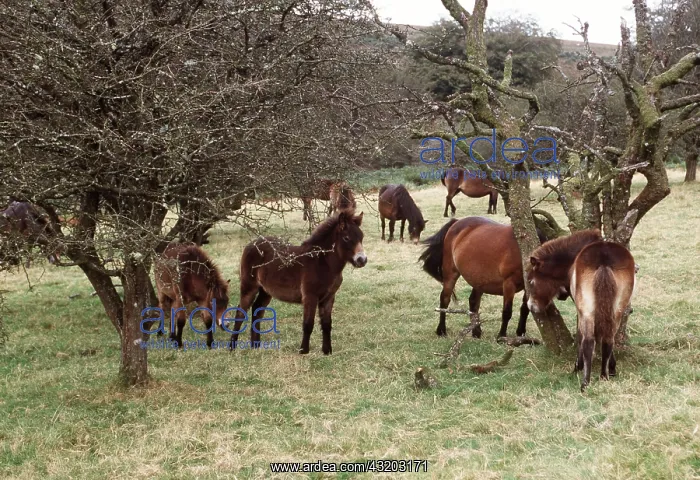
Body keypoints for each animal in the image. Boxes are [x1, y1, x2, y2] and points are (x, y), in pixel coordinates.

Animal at [230, 211, 367, 355]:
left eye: (361, 237)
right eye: (346, 238)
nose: (362, 260)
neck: (323, 263)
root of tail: (251, 244)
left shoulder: (329, 297)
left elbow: (326, 324)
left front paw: (327, 351)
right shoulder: (310, 296)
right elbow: (308, 324)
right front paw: (303, 351)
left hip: (266, 291)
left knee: (257, 310)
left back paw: (255, 346)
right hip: (249, 287)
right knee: (240, 312)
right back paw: (232, 347)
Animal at [419, 217, 548, 338]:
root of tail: (456, 222)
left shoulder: (528, 286)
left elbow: (525, 309)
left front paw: (521, 333)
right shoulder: (508, 284)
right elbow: (507, 311)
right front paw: (501, 336)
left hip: (478, 279)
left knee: (473, 301)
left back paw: (476, 331)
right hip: (451, 273)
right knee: (445, 299)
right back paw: (441, 330)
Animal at [526, 230, 636, 392]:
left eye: (531, 281)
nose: (531, 306)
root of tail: (604, 260)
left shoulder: (580, 309)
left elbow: (580, 336)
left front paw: (577, 367)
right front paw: (612, 368)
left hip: (587, 311)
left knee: (588, 341)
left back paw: (585, 382)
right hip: (616, 311)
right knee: (608, 338)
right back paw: (604, 375)